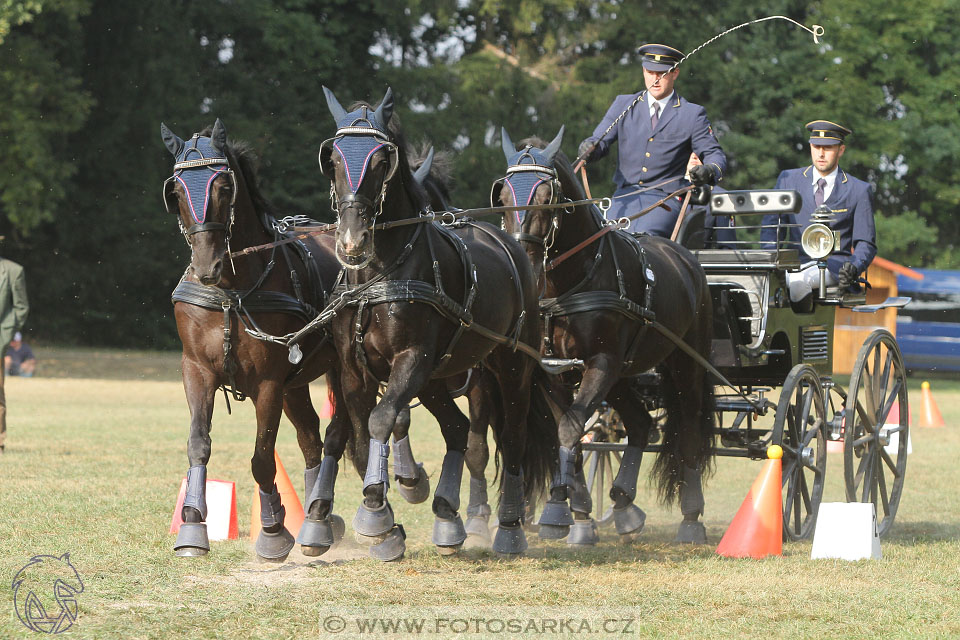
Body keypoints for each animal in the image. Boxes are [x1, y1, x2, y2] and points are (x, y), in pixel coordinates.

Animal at [300, 87, 556, 556]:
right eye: (334, 158)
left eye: (382, 160)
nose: (351, 240)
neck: (379, 274)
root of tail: (513, 248)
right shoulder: (353, 368)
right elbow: (358, 434)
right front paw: (381, 518)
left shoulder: (412, 357)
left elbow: (382, 419)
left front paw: (376, 515)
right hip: (439, 374)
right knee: (457, 429)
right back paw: (447, 517)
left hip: (511, 365)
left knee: (512, 438)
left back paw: (509, 527)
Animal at [496, 127, 712, 544]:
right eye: (501, 197)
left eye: (548, 197)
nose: (524, 262)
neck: (573, 280)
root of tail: (687, 259)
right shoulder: (556, 370)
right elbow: (570, 433)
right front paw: (577, 514)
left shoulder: (601, 362)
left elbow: (570, 429)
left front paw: (557, 510)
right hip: (621, 374)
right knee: (640, 422)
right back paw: (624, 505)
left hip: (685, 363)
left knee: (691, 429)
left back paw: (692, 518)